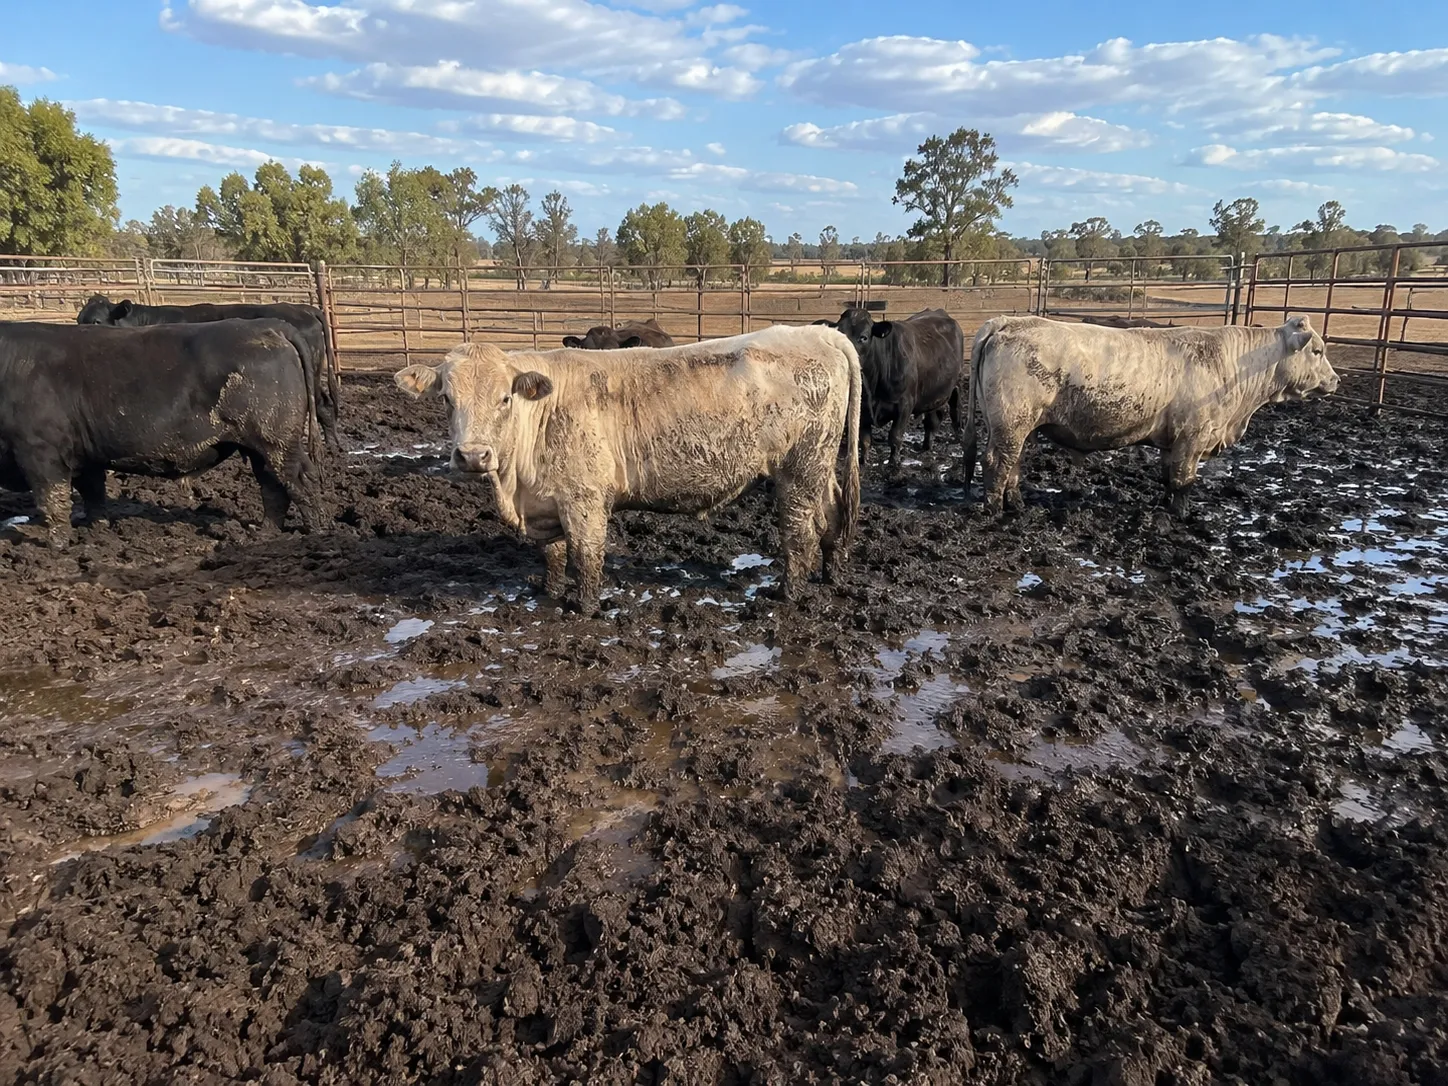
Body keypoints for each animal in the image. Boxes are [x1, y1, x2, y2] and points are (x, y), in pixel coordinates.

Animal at [0, 319, 325, 544]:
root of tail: (268, 325)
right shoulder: (85, 455)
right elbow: (93, 494)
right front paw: (97, 533)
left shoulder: (40, 450)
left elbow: (52, 499)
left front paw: (55, 544)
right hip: (260, 447)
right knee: (273, 488)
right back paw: (264, 533)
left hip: (276, 441)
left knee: (299, 485)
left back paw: (316, 535)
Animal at [393, 325, 862, 608]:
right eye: (446, 398)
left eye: (505, 398)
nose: (473, 456)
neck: (517, 487)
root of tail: (820, 333)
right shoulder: (549, 502)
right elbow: (553, 555)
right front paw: (549, 593)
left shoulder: (583, 499)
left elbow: (585, 557)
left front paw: (584, 609)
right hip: (819, 469)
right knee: (832, 519)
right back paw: (832, 579)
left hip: (798, 471)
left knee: (800, 535)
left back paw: (787, 595)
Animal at [823, 308, 964, 465]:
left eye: (863, 337)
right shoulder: (863, 407)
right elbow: (865, 440)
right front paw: (863, 461)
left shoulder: (905, 405)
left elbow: (895, 436)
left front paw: (893, 463)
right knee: (932, 420)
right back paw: (926, 446)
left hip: (956, 384)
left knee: (955, 410)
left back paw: (959, 438)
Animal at [961, 315, 1339, 517]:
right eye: (1318, 351)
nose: (1335, 380)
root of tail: (1009, 322)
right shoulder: (1193, 435)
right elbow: (1184, 480)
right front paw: (1182, 515)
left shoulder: (1174, 441)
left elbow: (1168, 476)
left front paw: (1167, 505)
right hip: (1011, 423)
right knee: (997, 462)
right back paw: (994, 509)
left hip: (1019, 426)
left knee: (1013, 464)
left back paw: (1017, 504)